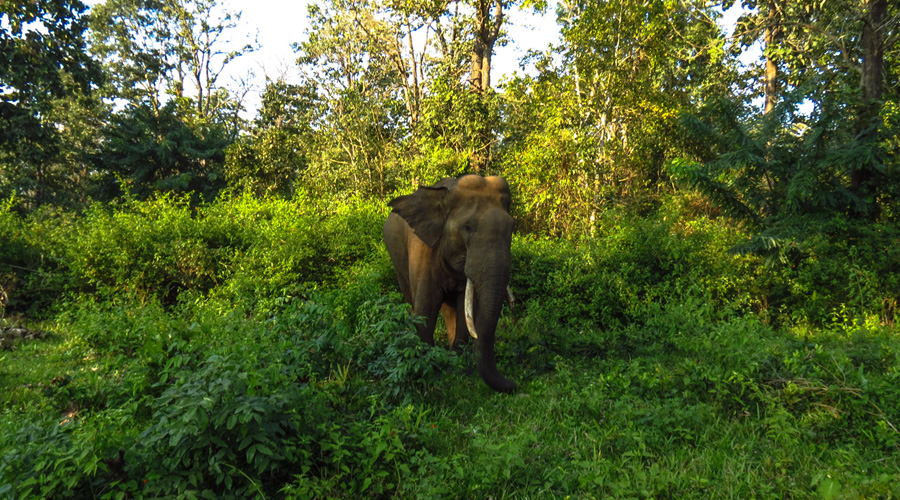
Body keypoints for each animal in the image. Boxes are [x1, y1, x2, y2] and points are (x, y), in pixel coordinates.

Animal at [384, 174, 516, 392]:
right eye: (467, 228)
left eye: (512, 228)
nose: (513, 384)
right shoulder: (424, 249)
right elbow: (425, 311)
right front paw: (427, 370)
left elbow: (464, 313)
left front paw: (455, 369)